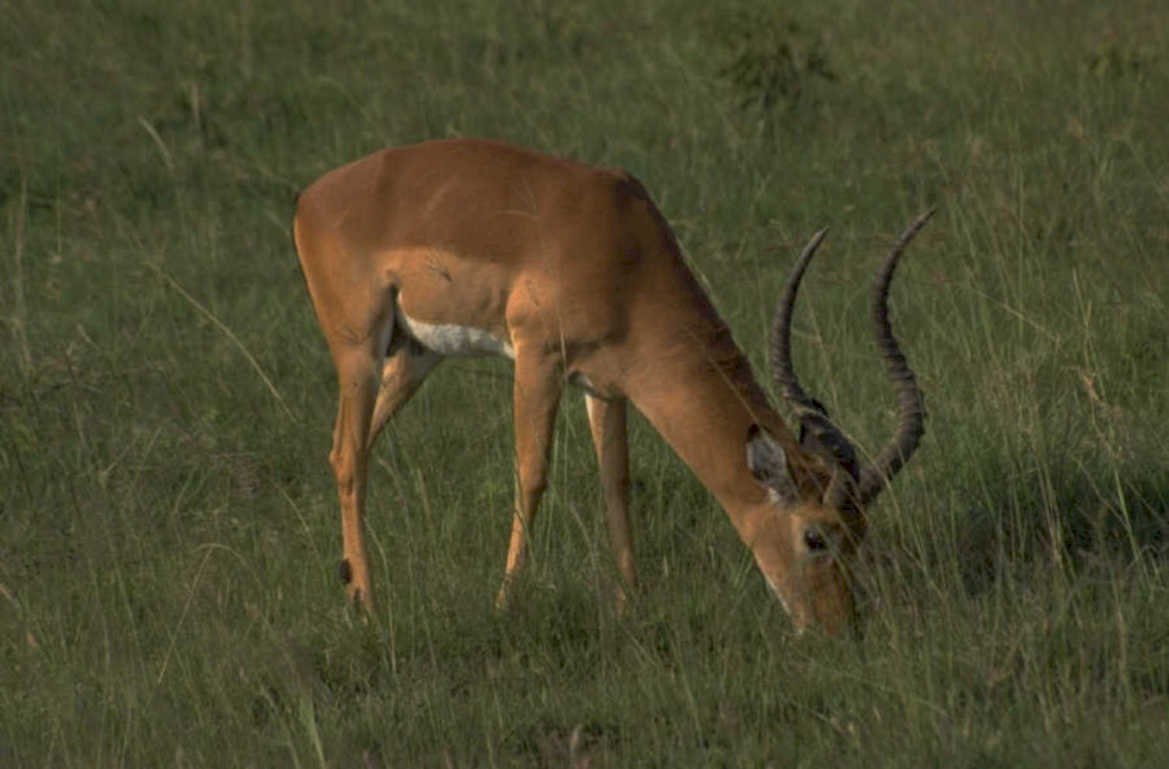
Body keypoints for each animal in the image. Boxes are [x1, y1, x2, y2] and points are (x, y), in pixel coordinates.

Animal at [293, 138, 929, 635]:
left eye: (861, 534)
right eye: (816, 537)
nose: (839, 626)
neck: (624, 249)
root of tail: (311, 198)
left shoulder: (606, 386)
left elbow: (615, 482)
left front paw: (632, 604)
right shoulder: (538, 359)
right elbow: (532, 475)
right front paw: (505, 605)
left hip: (414, 357)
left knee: (348, 452)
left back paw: (350, 587)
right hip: (360, 351)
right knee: (348, 455)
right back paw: (370, 607)